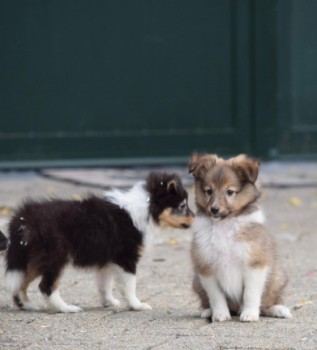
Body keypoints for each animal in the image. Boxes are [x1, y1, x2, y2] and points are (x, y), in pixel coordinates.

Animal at [4, 173, 193, 314]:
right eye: (182, 206)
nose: (195, 217)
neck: (147, 207)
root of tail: (23, 218)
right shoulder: (127, 257)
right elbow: (130, 285)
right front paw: (137, 305)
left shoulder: (108, 260)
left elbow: (105, 284)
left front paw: (109, 302)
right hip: (56, 254)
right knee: (46, 286)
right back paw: (66, 308)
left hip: (33, 257)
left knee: (21, 281)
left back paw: (28, 305)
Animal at [188, 153, 292, 322]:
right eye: (209, 191)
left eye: (229, 192)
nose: (214, 210)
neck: (224, 225)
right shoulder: (206, 267)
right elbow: (216, 296)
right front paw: (220, 314)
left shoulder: (255, 264)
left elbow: (250, 293)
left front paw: (249, 314)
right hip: (196, 281)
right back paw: (208, 311)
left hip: (277, 277)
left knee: (267, 303)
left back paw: (278, 309)